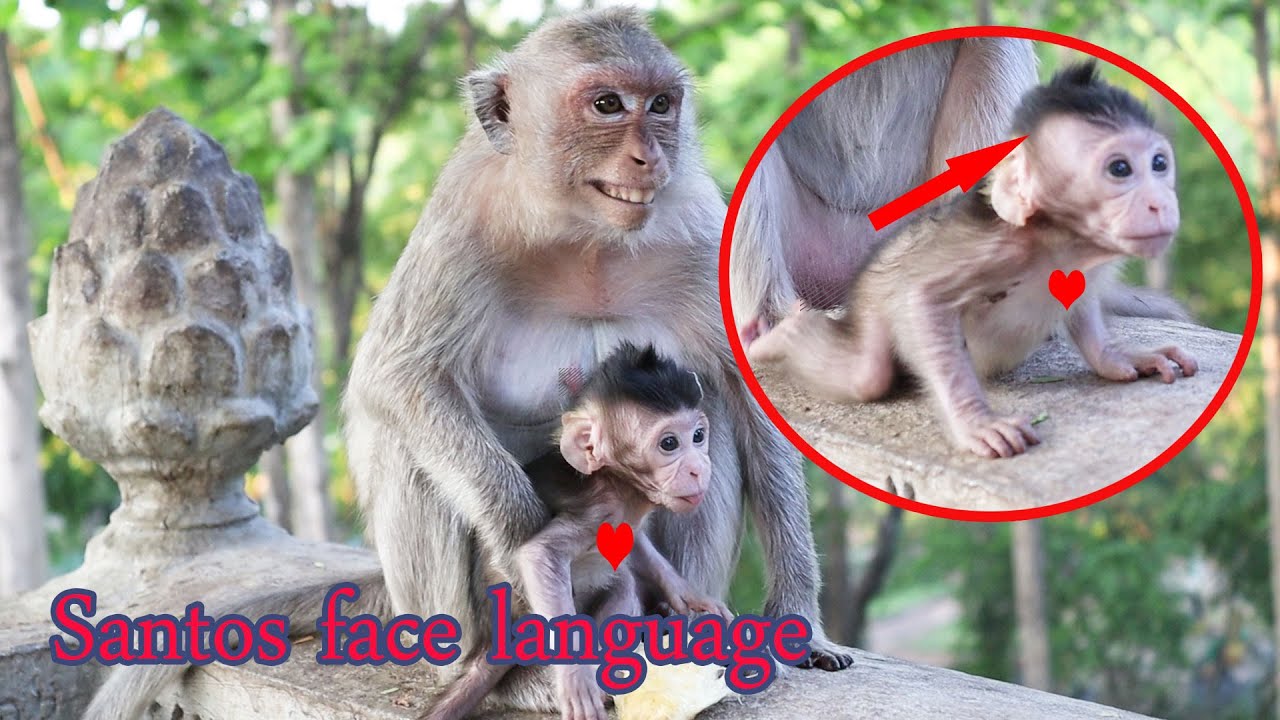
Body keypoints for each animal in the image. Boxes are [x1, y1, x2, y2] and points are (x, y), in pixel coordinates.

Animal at [425, 343, 732, 720]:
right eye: (670, 443)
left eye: (698, 436)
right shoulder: (598, 511)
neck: (619, 484)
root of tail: (495, 636)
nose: (699, 468)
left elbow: (634, 543)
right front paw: (574, 680)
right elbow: (540, 554)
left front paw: (687, 595)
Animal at [745, 61, 1197, 459]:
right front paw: (976, 423)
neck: (1060, 241)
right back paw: (782, 337)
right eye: (1120, 169)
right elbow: (922, 300)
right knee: (866, 375)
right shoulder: (992, 250)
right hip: (870, 298)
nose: (1160, 203)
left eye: (1159, 164)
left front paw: (1120, 357)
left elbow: (1082, 306)